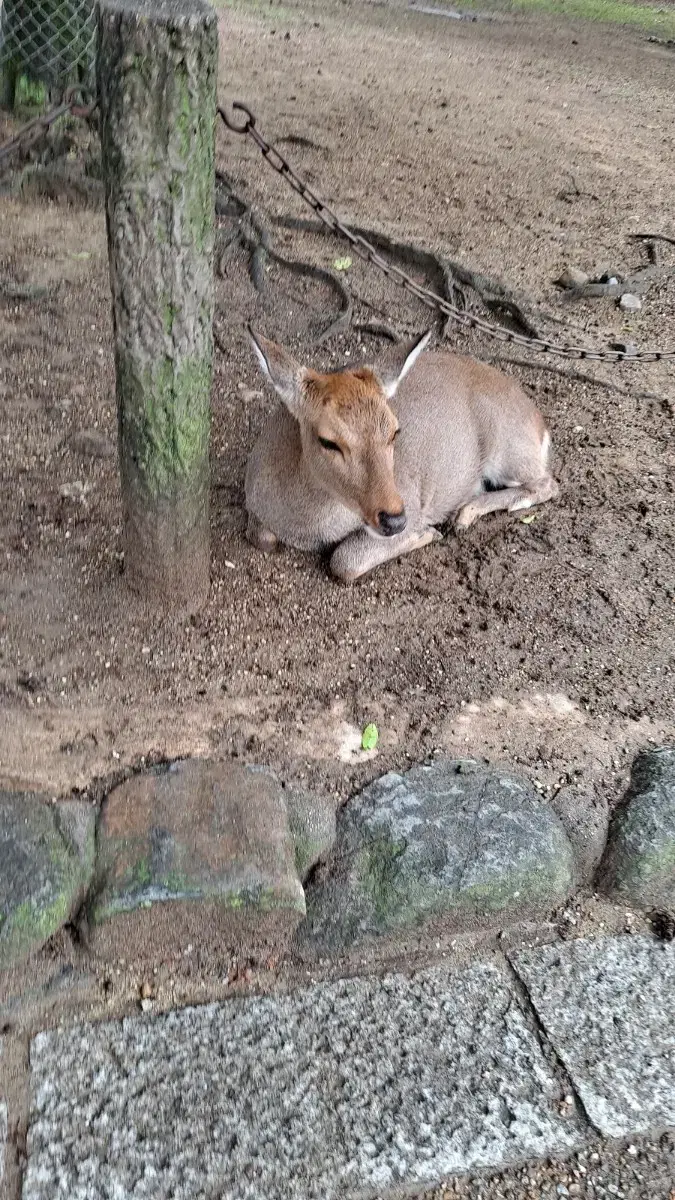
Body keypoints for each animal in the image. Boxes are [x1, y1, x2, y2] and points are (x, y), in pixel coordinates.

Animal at [243, 328, 554, 580]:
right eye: (328, 441)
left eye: (395, 431)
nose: (394, 520)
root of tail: (540, 425)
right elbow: (261, 536)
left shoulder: (412, 500)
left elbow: (343, 561)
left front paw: (426, 532)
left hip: (507, 448)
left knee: (547, 482)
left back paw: (467, 513)